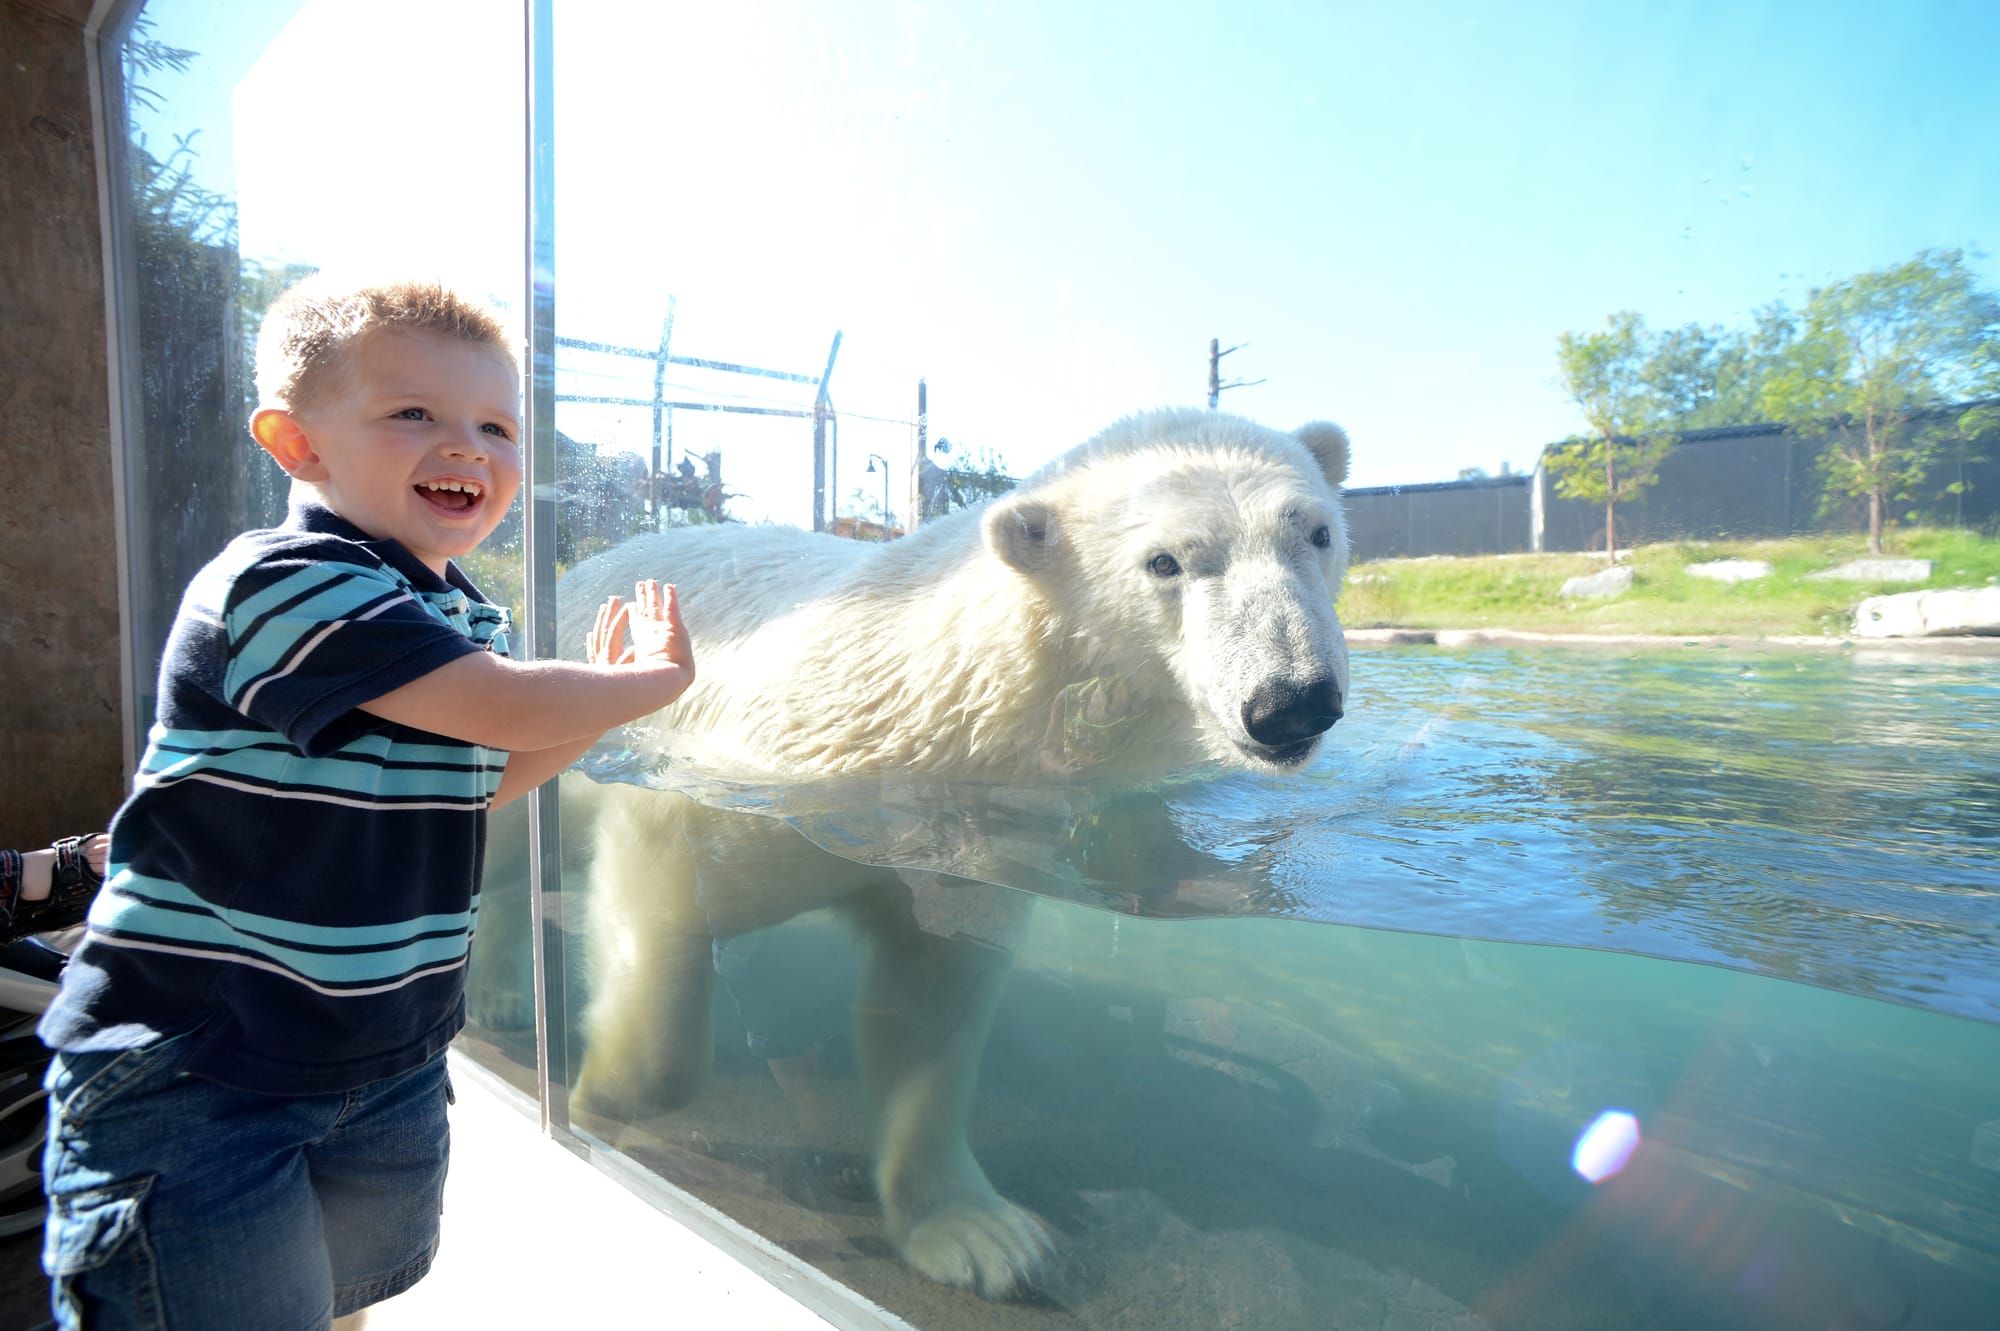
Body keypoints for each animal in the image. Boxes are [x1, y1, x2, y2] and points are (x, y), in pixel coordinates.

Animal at [550, 407, 1353, 1298]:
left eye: (1316, 531)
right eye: (1166, 561)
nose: (1291, 700)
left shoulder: (974, 851)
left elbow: (929, 1005)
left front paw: (980, 1234)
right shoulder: (741, 779)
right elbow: (659, 898)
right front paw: (601, 1099)